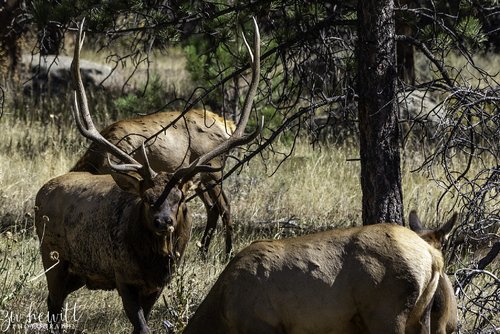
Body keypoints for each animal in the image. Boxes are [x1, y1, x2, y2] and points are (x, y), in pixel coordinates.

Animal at [71, 22, 264, 256]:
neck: (99, 162)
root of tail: (228, 124)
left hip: (214, 168)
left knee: (225, 206)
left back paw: (227, 252)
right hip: (199, 175)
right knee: (212, 207)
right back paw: (203, 250)